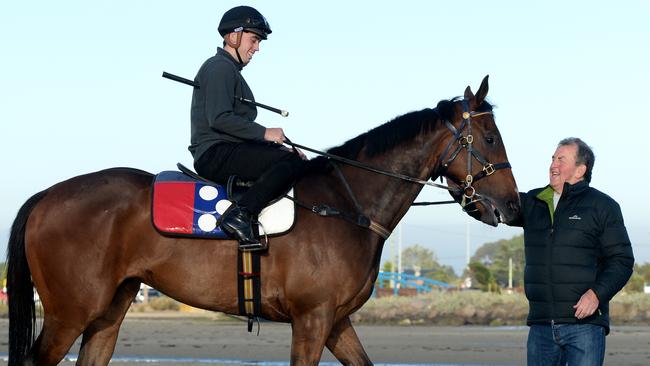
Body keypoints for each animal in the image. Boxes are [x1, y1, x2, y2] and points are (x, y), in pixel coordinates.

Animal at [7, 76, 520, 364]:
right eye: (490, 138)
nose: (513, 207)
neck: (346, 202)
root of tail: (48, 195)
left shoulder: (336, 322)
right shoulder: (311, 321)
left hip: (108, 311)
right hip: (70, 312)